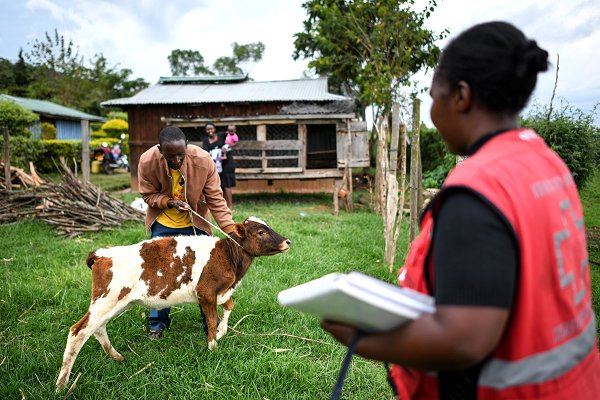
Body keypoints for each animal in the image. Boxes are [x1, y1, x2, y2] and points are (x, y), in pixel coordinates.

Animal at [56, 217, 290, 392]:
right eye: (261, 232)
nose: (287, 241)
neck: (228, 257)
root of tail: (102, 253)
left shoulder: (219, 292)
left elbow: (229, 306)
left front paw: (222, 331)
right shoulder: (206, 292)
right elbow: (211, 319)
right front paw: (212, 346)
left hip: (116, 302)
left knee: (97, 328)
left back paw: (116, 356)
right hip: (108, 299)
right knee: (78, 331)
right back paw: (62, 384)